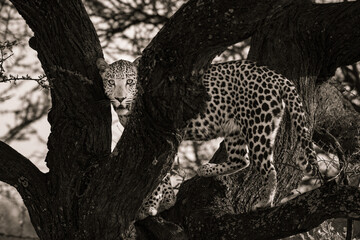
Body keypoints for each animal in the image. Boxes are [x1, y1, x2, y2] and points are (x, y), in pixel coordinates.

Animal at [97, 57, 320, 219]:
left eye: (130, 82)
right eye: (110, 82)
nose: (119, 98)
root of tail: (276, 75)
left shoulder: (164, 137)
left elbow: (159, 175)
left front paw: (151, 205)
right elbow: (164, 173)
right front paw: (168, 200)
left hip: (258, 125)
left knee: (269, 168)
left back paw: (265, 201)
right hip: (236, 129)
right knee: (242, 159)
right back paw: (207, 169)